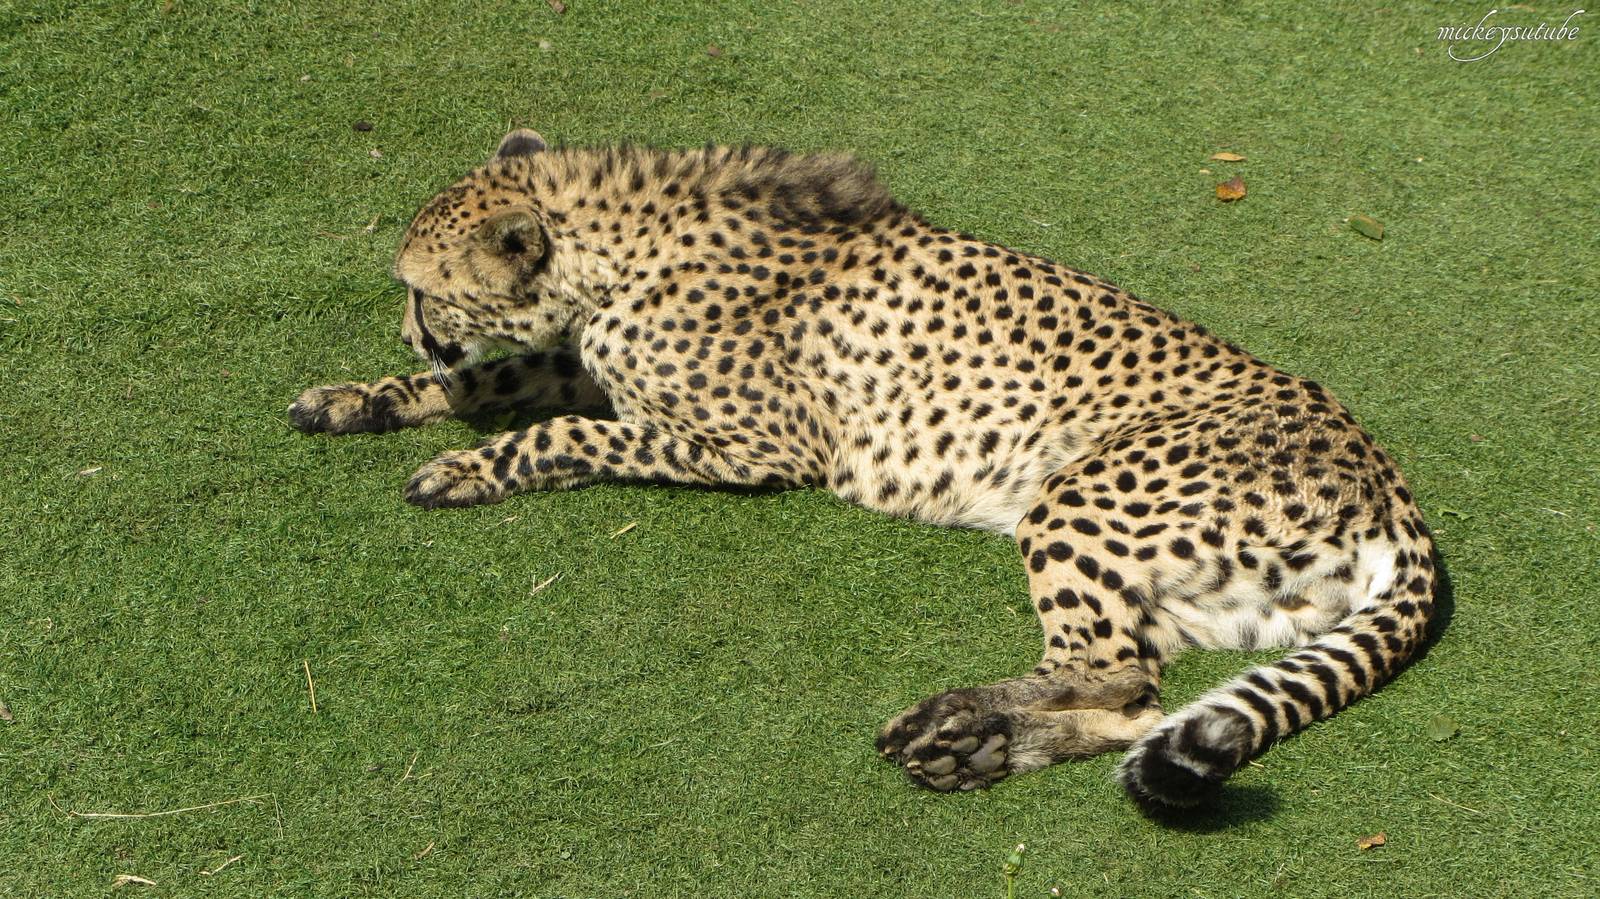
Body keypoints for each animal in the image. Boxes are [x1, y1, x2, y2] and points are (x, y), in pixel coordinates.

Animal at [289, 129, 1438, 810]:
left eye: (423, 289)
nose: (409, 324)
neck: (622, 246)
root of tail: (1388, 481)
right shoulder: (588, 360)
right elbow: (499, 376)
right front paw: (361, 398)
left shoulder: (763, 446)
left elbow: (559, 431)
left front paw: (465, 465)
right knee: (1138, 699)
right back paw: (976, 748)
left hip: (1074, 495)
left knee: (1117, 672)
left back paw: (958, 722)